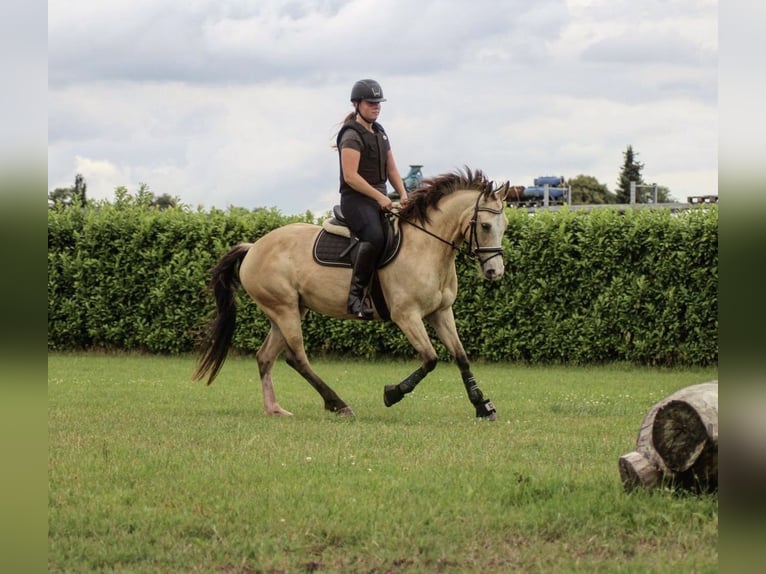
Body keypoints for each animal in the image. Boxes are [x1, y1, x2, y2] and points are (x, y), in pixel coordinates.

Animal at [195, 169, 512, 420]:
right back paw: (338, 404)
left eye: (505, 226)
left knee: (265, 357)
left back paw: (274, 408)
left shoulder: (440, 312)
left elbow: (461, 356)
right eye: (485, 226)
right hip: (284, 309)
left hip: (289, 310)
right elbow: (430, 358)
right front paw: (392, 393)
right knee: (296, 357)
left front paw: (482, 406)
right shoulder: (407, 315)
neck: (427, 247)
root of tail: (253, 247)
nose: (495, 272)